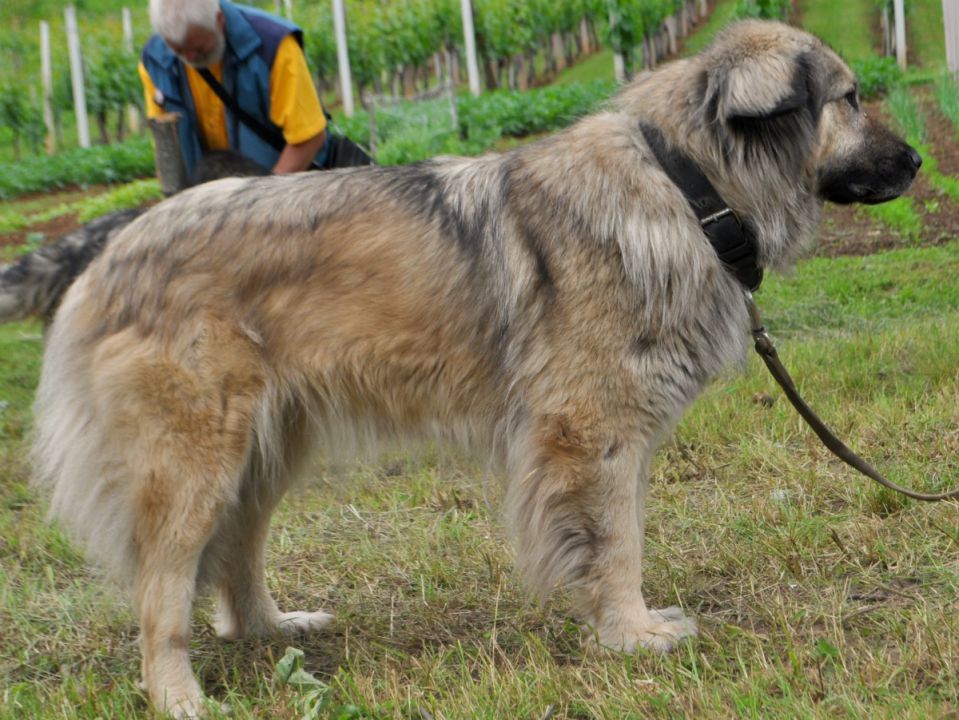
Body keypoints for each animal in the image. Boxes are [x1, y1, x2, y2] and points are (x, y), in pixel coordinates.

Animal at [33, 19, 924, 716]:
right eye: (849, 99)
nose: (918, 161)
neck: (687, 185)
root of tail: (110, 245)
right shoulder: (588, 433)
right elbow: (616, 543)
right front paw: (631, 634)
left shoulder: (618, 439)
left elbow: (622, 534)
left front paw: (622, 625)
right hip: (194, 459)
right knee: (162, 586)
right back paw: (177, 693)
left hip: (266, 447)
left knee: (236, 553)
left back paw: (270, 628)